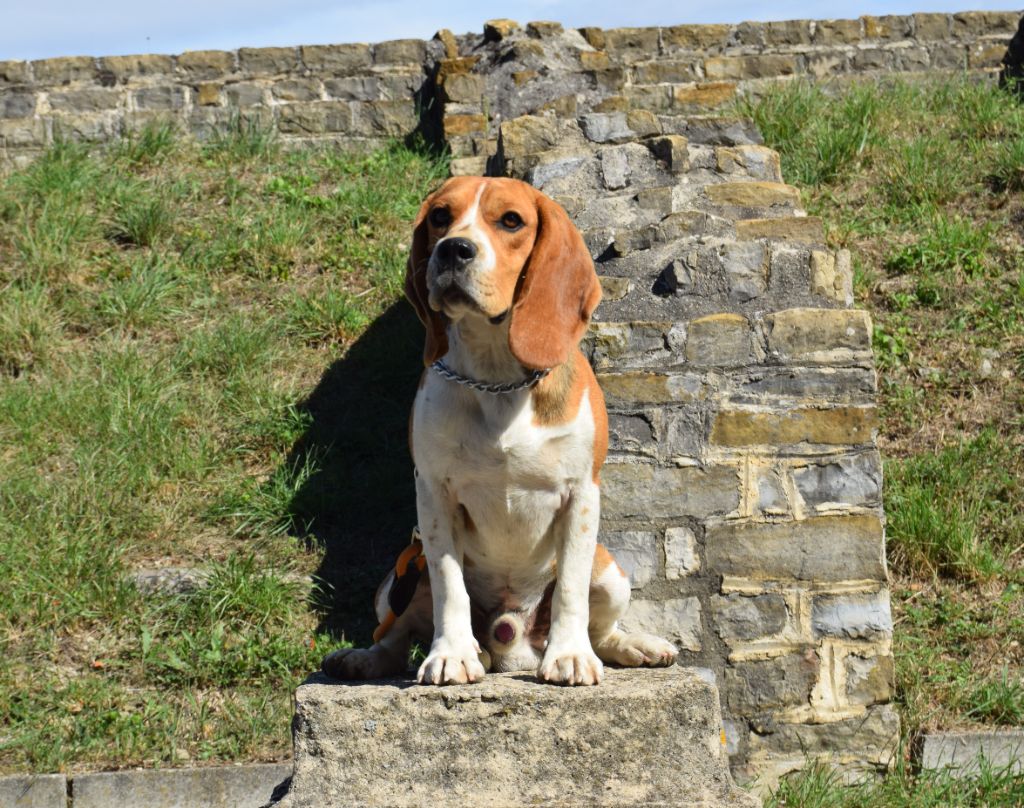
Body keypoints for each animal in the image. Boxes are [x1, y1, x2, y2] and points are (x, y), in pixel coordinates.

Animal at [323, 175, 675, 679]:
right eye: (440, 216)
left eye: (511, 220)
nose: (453, 249)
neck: (496, 378)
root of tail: (511, 638)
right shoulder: (434, 495)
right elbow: (449, 583)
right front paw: (451, 654)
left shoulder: (582, 493)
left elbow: (570, 587)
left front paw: (569, 655)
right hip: (396, 579)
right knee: (394, 636)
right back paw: (365, 659)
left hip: (609, 572)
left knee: (602, 630)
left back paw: (631, 645)